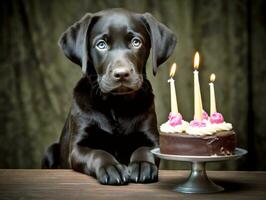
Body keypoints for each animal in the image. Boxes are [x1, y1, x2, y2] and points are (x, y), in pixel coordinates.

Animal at [42, 8, 177, 185]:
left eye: (136, 42)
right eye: (101, 44)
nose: (121, 74)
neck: (116, 104)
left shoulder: (151, 139)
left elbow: (144, 149)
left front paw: (143, 164)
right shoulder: (78, 147)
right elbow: (97, 153)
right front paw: (111, 167)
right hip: (49, 150)